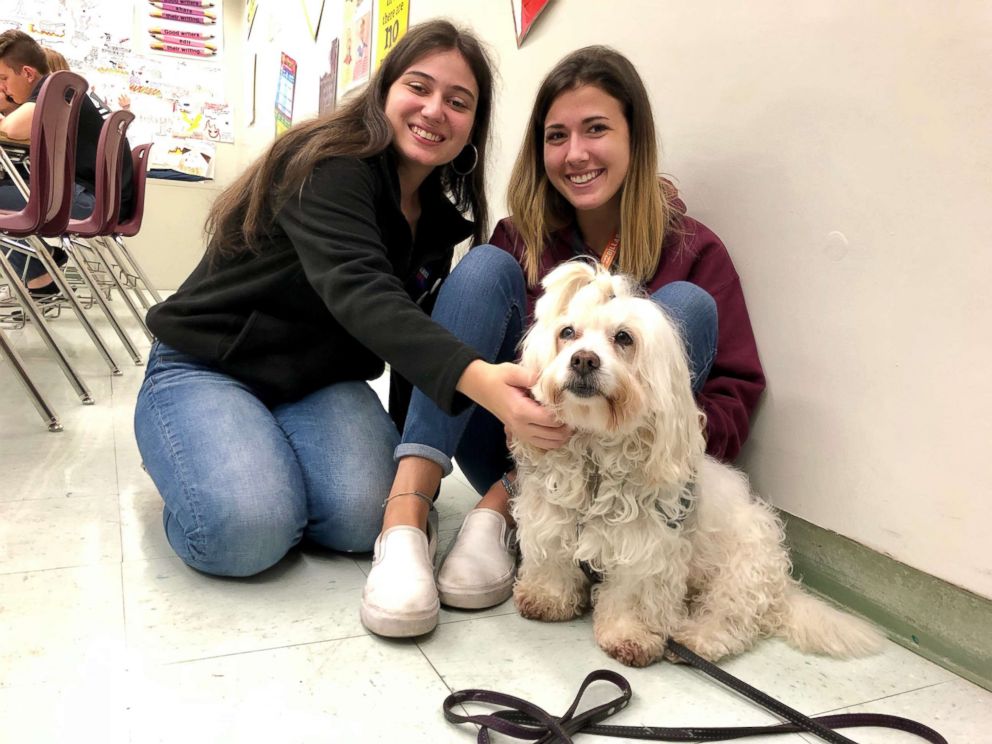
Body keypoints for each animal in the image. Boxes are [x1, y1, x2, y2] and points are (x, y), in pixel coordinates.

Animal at [508, 262, 880, 668]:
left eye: (623, 337)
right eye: (567, 333)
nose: (583, 359)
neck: (595, 458)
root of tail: (783, 591)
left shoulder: (648, 549)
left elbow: (632, 596)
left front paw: (629, 636)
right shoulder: (551, 518)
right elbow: (551, 559)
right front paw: (547, 598)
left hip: (742, 568)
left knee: (733, 620)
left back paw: (694, 639)